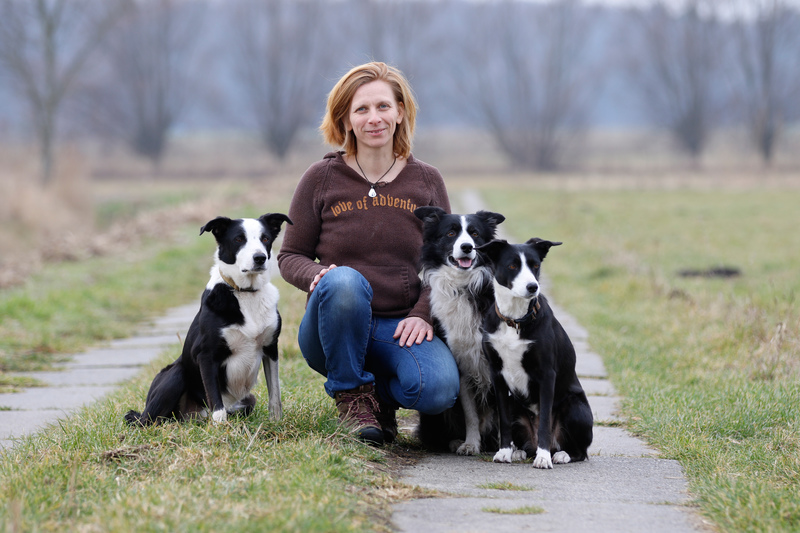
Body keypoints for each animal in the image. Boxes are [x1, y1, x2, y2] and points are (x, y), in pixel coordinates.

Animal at [127, 212, 294, 424]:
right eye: (239, 239)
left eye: (265, 238)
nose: (260, 258)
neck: (245, 293)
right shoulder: (206, 355)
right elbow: (216, 402)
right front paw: (221, 427)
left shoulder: (271, 347)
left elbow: (275, 392)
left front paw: (276, 421)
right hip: (176, 374)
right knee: (147, 421)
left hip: (248, 400)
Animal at [412, 206, 506, 456]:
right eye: (451, 233)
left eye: (474, 234)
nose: (467, 247)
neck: (465, 286)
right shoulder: (462, 365)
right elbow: (470, 414)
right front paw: (470, 444)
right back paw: (456, 441)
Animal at [476, 239, 592, 468]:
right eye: (512, 265)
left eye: (535, 265)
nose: (533, 287)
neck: (515, 320)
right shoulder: (497, 374)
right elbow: (503, 420)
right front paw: (504, 452)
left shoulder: (546, 375)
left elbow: (545, 420)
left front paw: (543, 457)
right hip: (515, 404)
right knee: (527, 443)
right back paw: (520, 452)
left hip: (575, 407)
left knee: (581, 451)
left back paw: (560, 455)